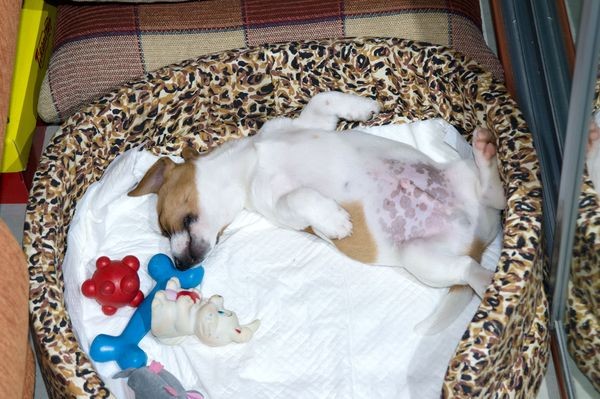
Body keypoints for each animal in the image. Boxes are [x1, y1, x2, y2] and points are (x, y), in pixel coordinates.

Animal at [130, 92, 506, 332]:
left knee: (495, 198)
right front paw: (335, 220)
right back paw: (492, 281)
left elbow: (324, 98)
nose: (179, 264)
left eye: (163, 226)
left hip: (458, 178)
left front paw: (363, 107)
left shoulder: (309, 123)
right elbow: (301, 197)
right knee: (469, 263)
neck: (251, 161)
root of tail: (478, 240)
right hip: (421, 257)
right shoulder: (281, 207)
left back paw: (485, 151)